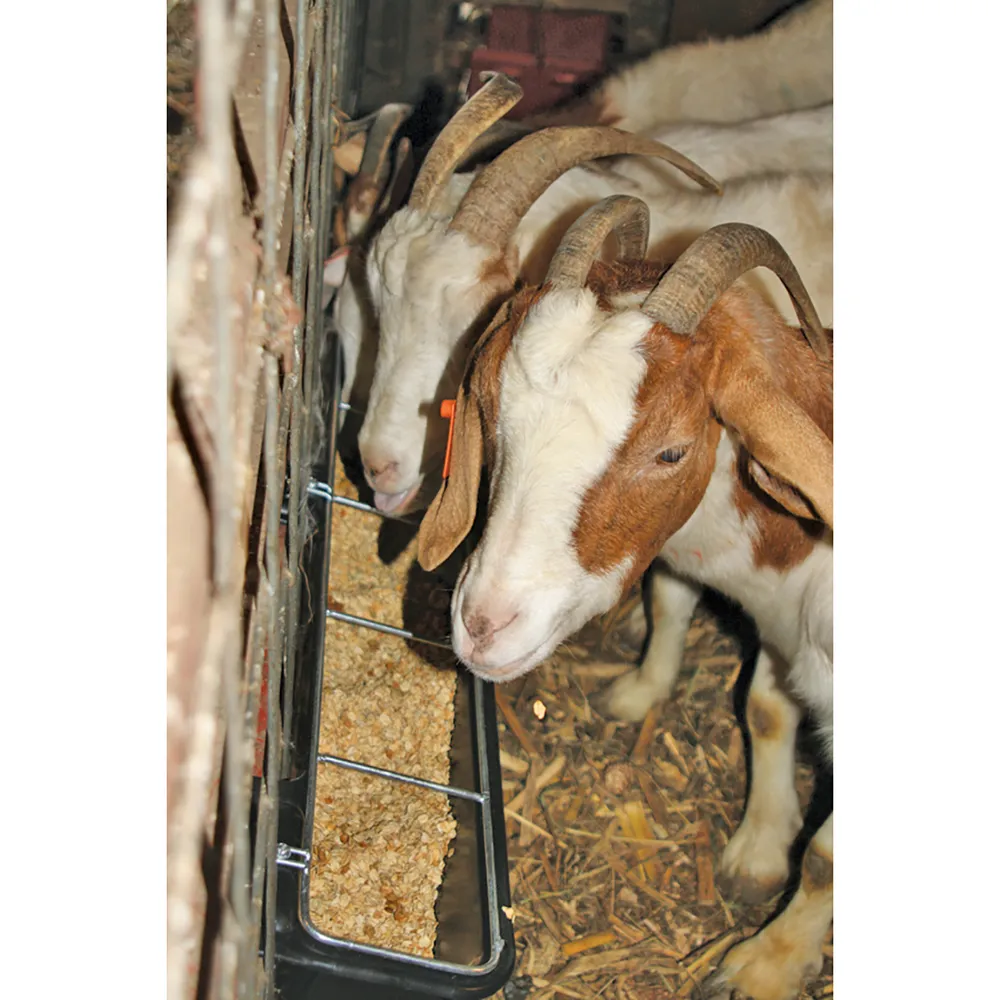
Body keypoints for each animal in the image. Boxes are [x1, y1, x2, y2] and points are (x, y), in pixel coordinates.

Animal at [416, 197, 833, 1000]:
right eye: (490, 405)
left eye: (671, 451)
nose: (484, 624)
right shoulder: (777, 630)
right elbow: (763, 707)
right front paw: (760, 848)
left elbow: (827, 856)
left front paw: (766, 965)